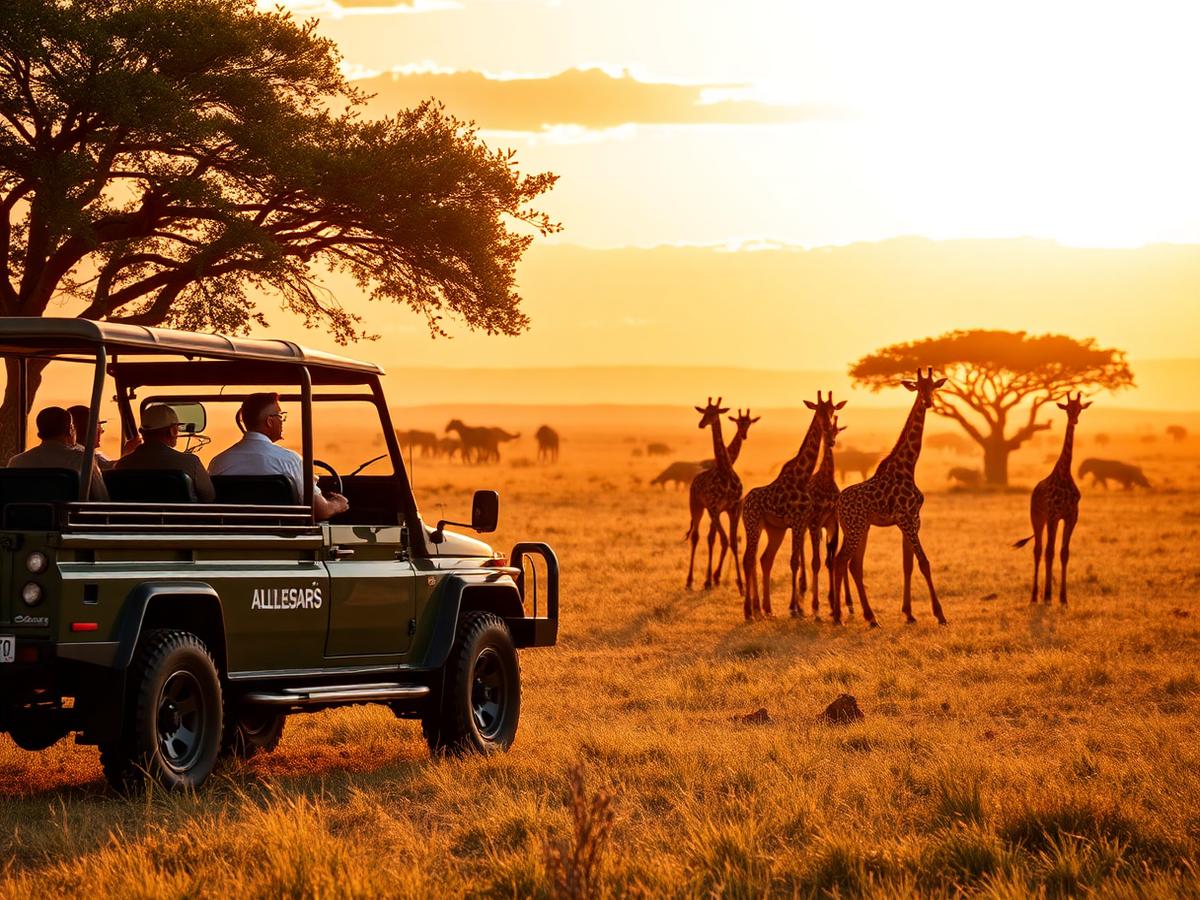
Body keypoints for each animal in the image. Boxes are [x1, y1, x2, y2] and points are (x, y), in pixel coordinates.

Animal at [686, 408, 760, 591]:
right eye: (738, 423)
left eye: (749, 423)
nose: (744, 435)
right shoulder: (715, 509)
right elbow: (719, 539)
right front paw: (712, 578)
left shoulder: (729, 509)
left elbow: (726, 540)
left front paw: (719, 578)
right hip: (696, 506)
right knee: (696, 536)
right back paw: (690, 580)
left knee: (713, 538)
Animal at [740, 392, 842, 620]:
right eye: (818, 411)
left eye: (832, 410)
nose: (827, 429)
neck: (801, 478)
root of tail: (744, 502)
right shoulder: (798, 521)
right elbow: (795, 562)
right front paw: (796, 608)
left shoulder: (802, 522)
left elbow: (799, 560)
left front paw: (798, 607)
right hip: (753, 525)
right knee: (748, 559)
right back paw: (749, 611)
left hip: (773, 530)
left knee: (764, 559)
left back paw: (764, 609)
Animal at [802, 414, 855, 619]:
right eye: (825, 431)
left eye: (837, 431)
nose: (832, 442)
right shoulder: (815, 523)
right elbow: (816, 562)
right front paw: (816, 608)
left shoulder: (832, 524)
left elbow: (830, 562)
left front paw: (836, 604)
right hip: (804, 526)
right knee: (801, 555)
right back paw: (801, 594)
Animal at [832, 369, 948, 627]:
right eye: (919, 388)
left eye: (933, 387)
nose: (928, 402)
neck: (907, 467)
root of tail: (838, 505)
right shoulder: (906, 518)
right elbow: (924, 562)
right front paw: (940, 615)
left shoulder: (913, 520)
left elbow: (908, 565)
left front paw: (909, 613)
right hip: (855, 528)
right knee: (840, 561)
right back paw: (839, 617)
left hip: (859, 528)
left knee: (854, 565)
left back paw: (870, 617)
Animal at [1013, 393, 1090, 604]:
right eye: (1068, 409)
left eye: (1080, 408)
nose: (1074, 421)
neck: (1064, 474)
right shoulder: (1054, 515)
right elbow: (1050, 552)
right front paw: (1047, 595)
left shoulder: (1072, 516)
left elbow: (1064, 553)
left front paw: (1063, 598)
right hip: (1038, 518)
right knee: (1039, 550)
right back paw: (1035, 596)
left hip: (1047, 520)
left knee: (1046, 549)